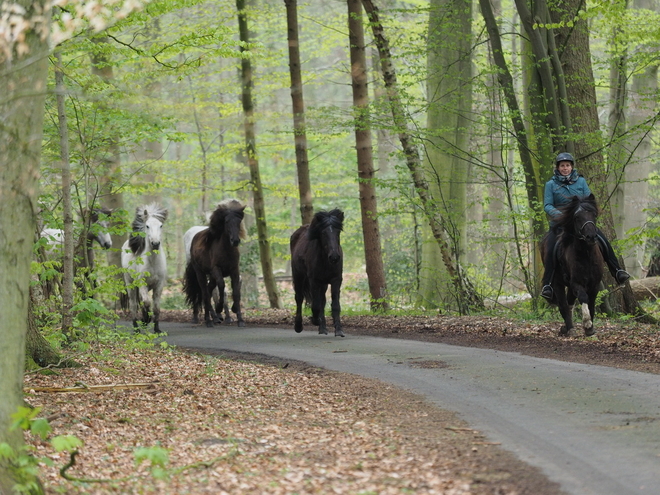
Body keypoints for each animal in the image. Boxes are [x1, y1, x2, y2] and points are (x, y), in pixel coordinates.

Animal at [121, 203, 168, 336]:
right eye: (147, 226)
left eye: (161, 225)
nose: (155, 243)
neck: (153, 263)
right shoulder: (142, 283)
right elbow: (147, 302)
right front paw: (146, 320)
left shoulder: (159, 285)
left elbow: (156, 307)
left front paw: (157, 329)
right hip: (130, 284)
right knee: (133, 305)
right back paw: (137, 327)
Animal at [182, 200, 246, 328]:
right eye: (226, 221)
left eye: (239, 221)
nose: (235, 241)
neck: (226, 250)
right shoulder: (217, 270)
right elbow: (221, 286)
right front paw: (219, 309)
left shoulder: (234, 270)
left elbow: (236, 291)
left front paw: (239, 319)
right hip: (200, 273)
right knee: (204, 292)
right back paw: (208, 320)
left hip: (211, 276)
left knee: (208, 290)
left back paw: (213, 318)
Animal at [292, 207, 348, 340]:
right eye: (323, 233)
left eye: (338, 232)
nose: (334, 257)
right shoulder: (314, 281)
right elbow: (315, 305)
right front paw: (315, 320)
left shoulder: (336, 280)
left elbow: (335, 305)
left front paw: (339, 330)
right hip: (299, 277)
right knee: (299, 298)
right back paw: (299, 326)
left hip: (323, 284)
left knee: (322, 301)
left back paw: (322, 328)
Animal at [540, 196, 604, 340]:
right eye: (577, 217)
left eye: (594, 214)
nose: (591, 237)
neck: (586, 254)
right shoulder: (576, 283)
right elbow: (583, 298)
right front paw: (587, 324)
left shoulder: (595, 284)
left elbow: (591, 304)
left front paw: (590, 329)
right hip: (557, 283)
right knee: (564, 305)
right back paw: (569, 328)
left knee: (569, 303)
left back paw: (566, 327)